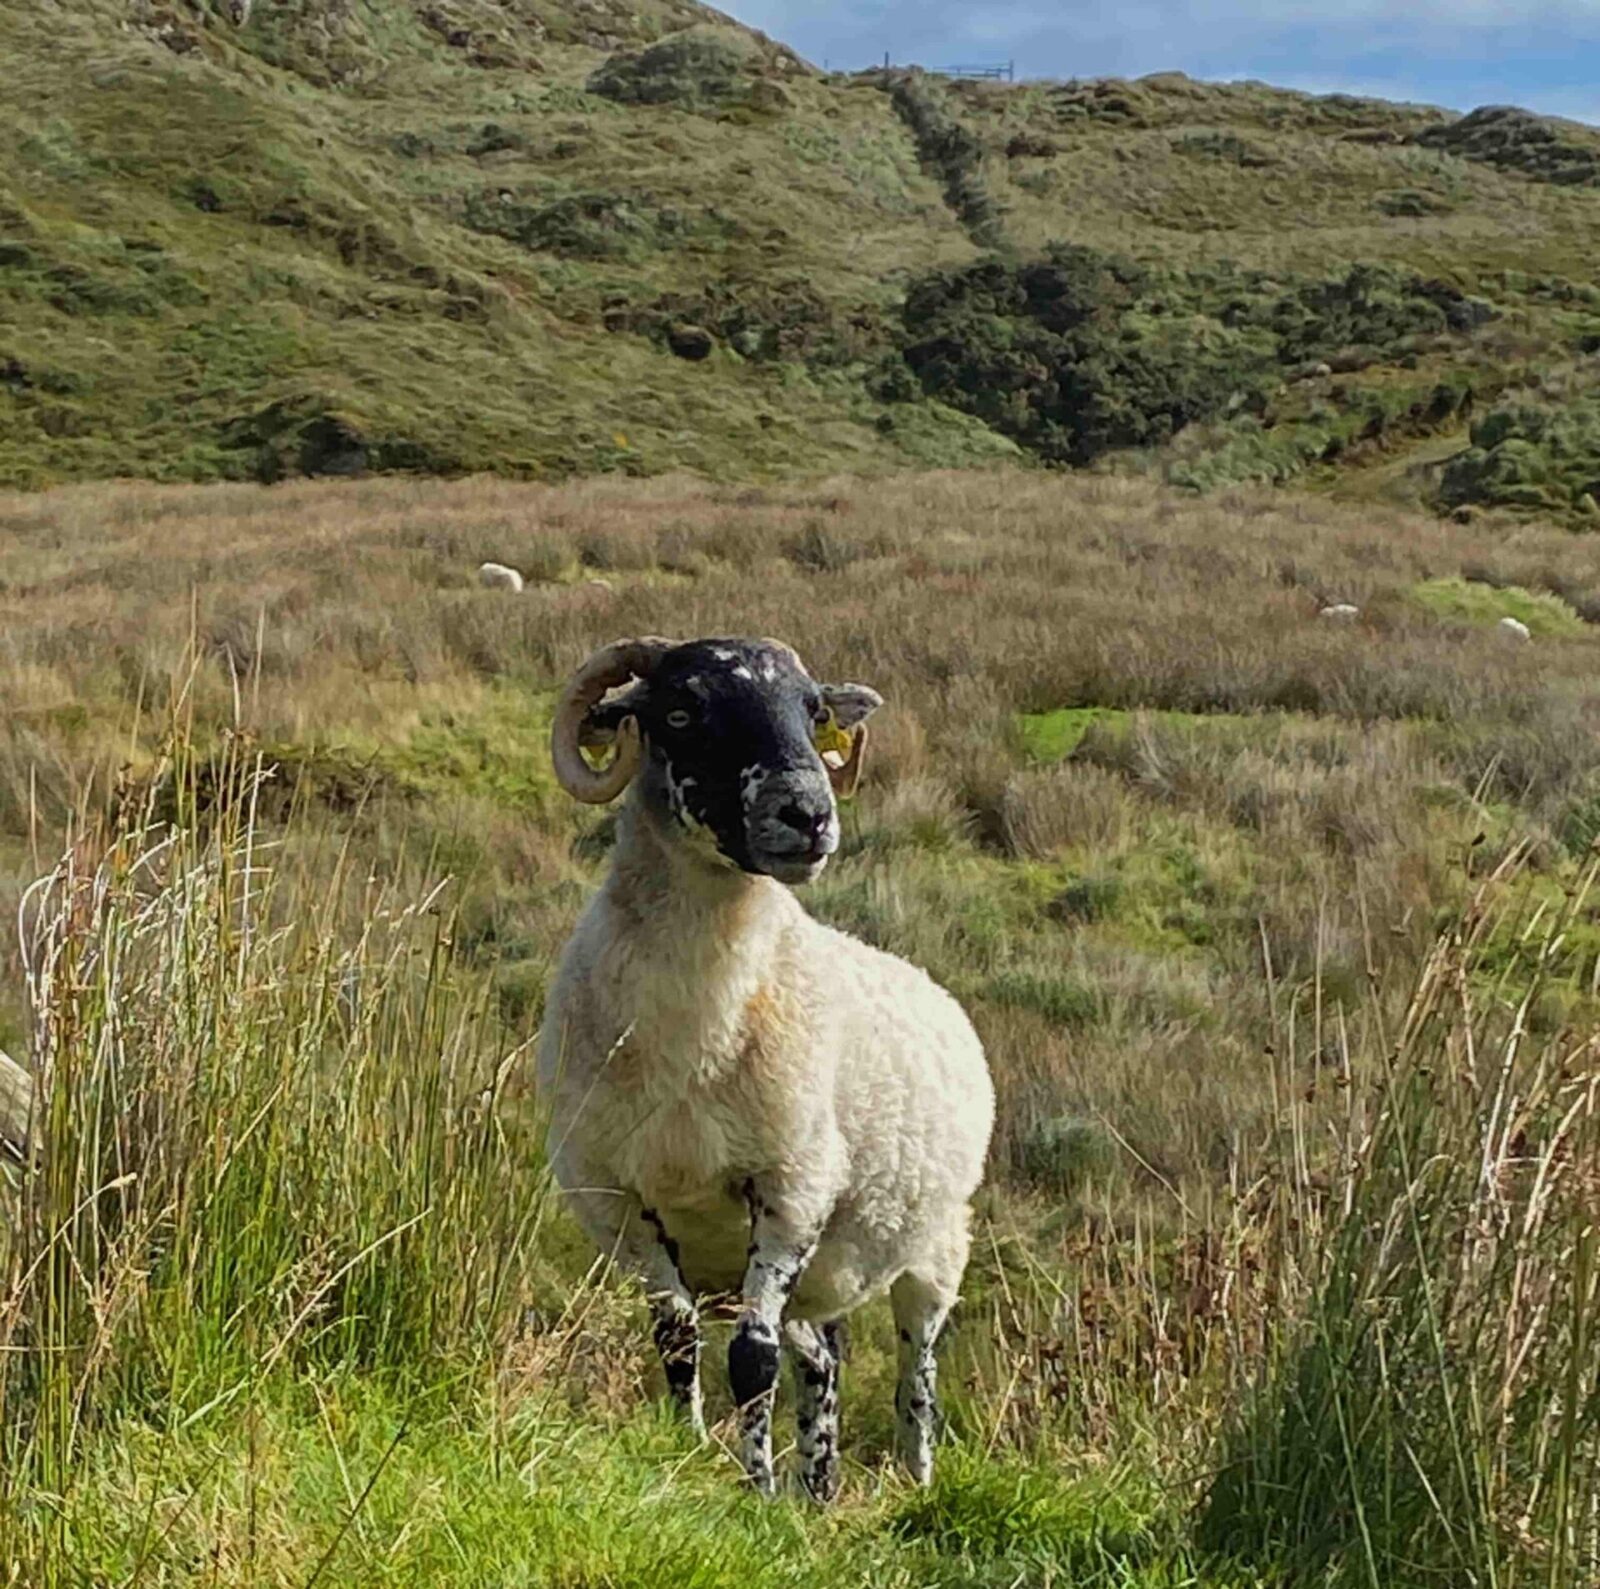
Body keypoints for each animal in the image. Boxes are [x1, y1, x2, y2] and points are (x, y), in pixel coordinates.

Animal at [536, 637, 994, 1501]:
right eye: (681, 710)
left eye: (813, 711)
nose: (809, 813)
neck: (696, 1035)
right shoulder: (621, 1200)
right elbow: (677, 1338)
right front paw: (687, 1452)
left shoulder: (791, 1188)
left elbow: (752, 1359)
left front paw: (757, 1491)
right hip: (826, 1275)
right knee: (822, 1360)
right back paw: (820, 1487)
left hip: (938, 1248)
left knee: (915, 1375)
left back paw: (914, 1479)